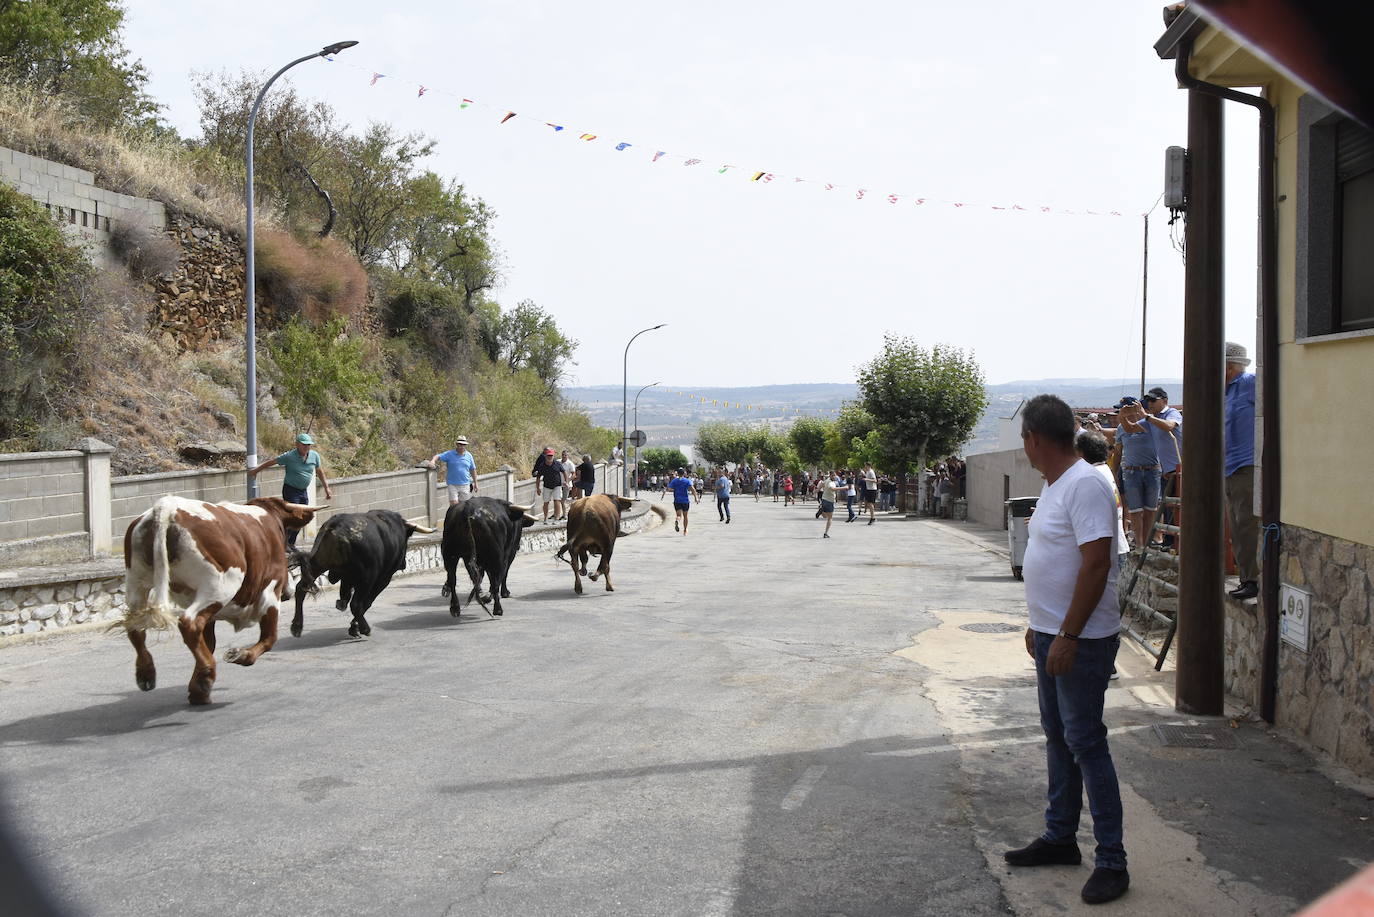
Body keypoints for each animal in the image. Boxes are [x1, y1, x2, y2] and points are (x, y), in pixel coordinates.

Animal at [118, 497, 321, 709]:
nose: (288, 591)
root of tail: (167, 507)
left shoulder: (211, 616)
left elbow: (209, 642)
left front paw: (199, 688)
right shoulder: (270, 593)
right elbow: (269, 638)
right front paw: (240, 656)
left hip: (136, 582)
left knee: (136, 628)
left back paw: (146, 673)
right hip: (219, 585)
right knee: (189, 623)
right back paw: (208, 669)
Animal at [292, 508, 431, 637]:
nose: (404, 564)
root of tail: (336, 525)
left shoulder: (347, 578)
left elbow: (346, 595)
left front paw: (343, 607)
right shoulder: (383, 579)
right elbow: (367, 602)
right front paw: (354, 627)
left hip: (317, 564)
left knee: (300, 589)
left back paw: (297, 627)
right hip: (367, 578)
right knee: (356, 604)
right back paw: (364, 628)